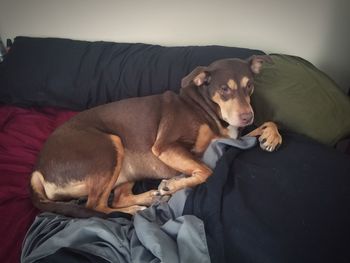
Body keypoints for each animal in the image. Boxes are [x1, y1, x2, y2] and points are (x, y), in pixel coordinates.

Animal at [30, 56, 282, 219]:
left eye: (249, 86)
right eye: (224, 89)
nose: (248, 117)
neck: (205, 107)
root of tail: (38, 171)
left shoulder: (231, 136)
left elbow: (268, 123)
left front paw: (271, 137)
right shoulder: (166, 146)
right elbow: (206, 171)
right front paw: (172, 185)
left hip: (128, 164)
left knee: (116, 198)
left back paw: (149, 198)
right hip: (110, 146)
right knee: (96, 207)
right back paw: (135, 210)